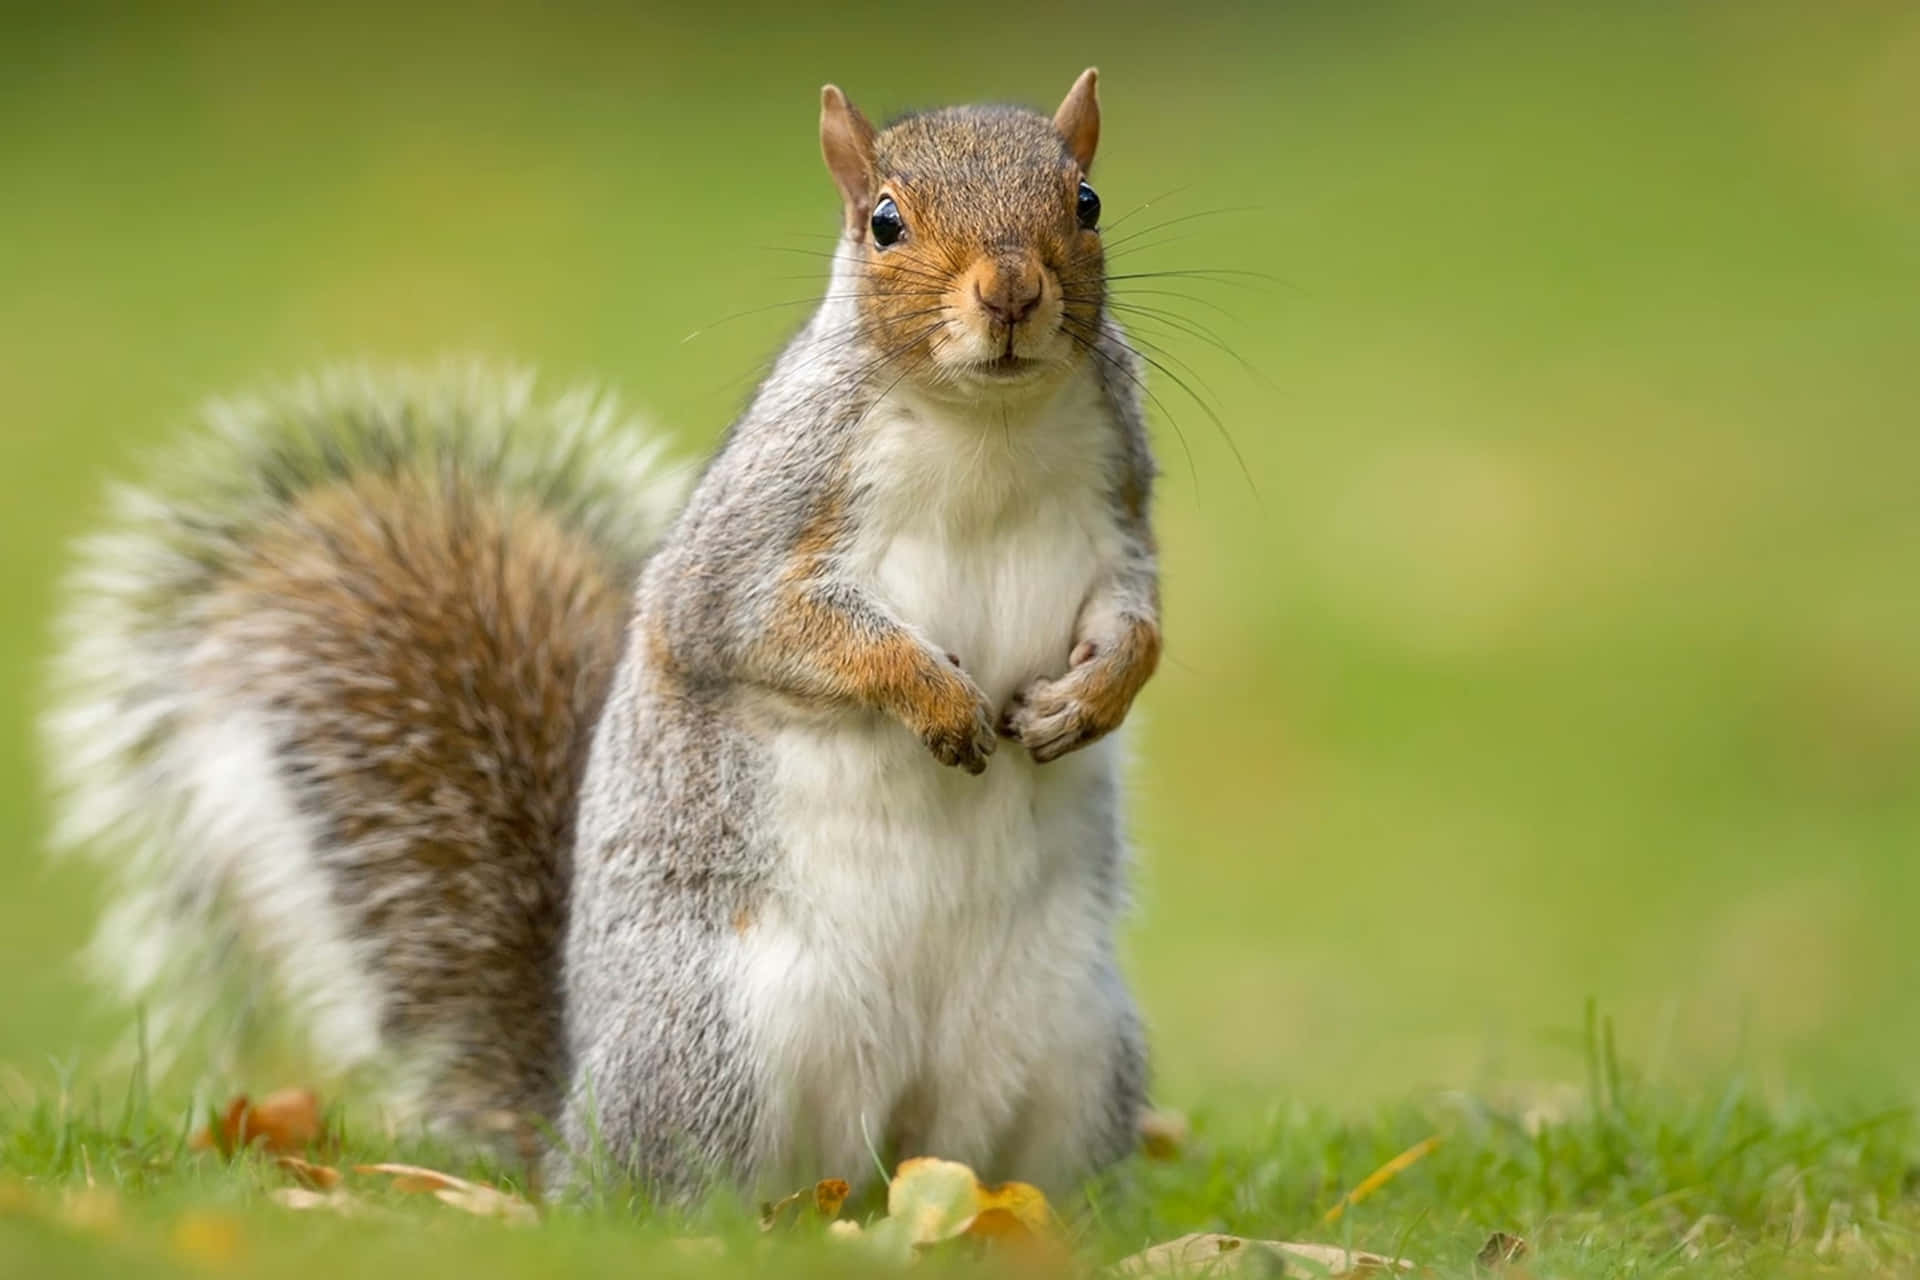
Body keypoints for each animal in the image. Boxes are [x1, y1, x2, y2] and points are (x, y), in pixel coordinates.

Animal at [41, 70, 1152, 1197]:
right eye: (885, 221)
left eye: (1088, 202)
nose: (1010, 292)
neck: (988, 424)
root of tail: (572, 1132)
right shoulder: (754, 540)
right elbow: (769, 629)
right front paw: (934, 697)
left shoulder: (1120, 517)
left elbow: (1138, 623)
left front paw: (1089, 698)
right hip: (724, 1046)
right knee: (685, 1190)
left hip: (1072, 1041)